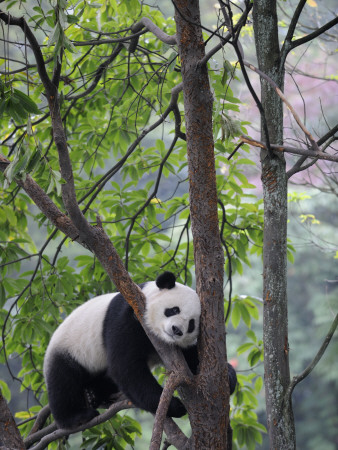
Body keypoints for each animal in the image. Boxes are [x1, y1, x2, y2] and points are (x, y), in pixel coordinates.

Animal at [43, 270, 236, 428]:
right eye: (174, 310)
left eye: (191, 324)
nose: (176, 330)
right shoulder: (127, 317)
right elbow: (126, 367)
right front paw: (174, 405)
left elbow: (192, 359)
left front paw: (228, 376)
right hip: (69, 348)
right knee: (63, 381)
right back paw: (77, 417)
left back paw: (95, 394)